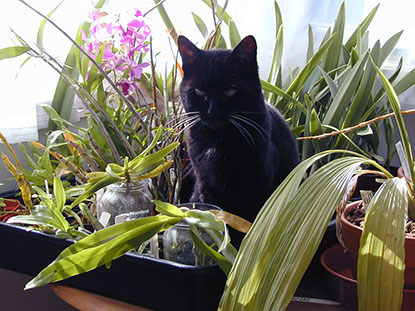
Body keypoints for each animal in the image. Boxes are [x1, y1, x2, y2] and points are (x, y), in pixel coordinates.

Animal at [179, 35, 300, 246]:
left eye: (230, 90)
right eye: (200, 92)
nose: (212, 111)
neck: (219, 140)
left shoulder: (257, 185)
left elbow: (248, 221)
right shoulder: (206, 184)